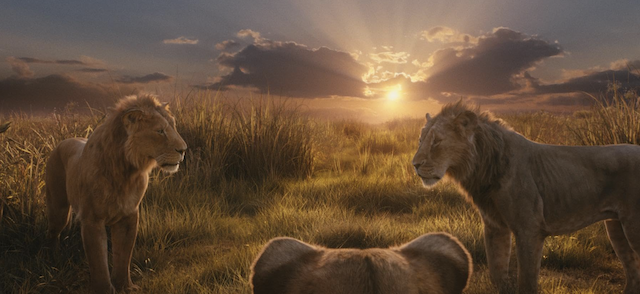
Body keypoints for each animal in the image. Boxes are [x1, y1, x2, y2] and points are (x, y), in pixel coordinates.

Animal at [44, 95, 185, 292]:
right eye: (160, 131)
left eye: (173, 126)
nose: (183, 150)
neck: (126, 171)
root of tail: (64, 141)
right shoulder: (92, 219)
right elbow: (98, 261)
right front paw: (104, 289)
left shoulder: (129, 216)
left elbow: (123, 256)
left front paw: (126, 287)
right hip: (58, 208)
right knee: (53, 233)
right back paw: (53, 261)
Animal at [412, 101, 640, 294]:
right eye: (421, 140)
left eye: (437, 141)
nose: (414, 164)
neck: (483, 166)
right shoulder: (495, 227)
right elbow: (497, 272)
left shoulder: (529, 229)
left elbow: (527, 281)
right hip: (615, 227)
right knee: (633, 273)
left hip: (632, 227)